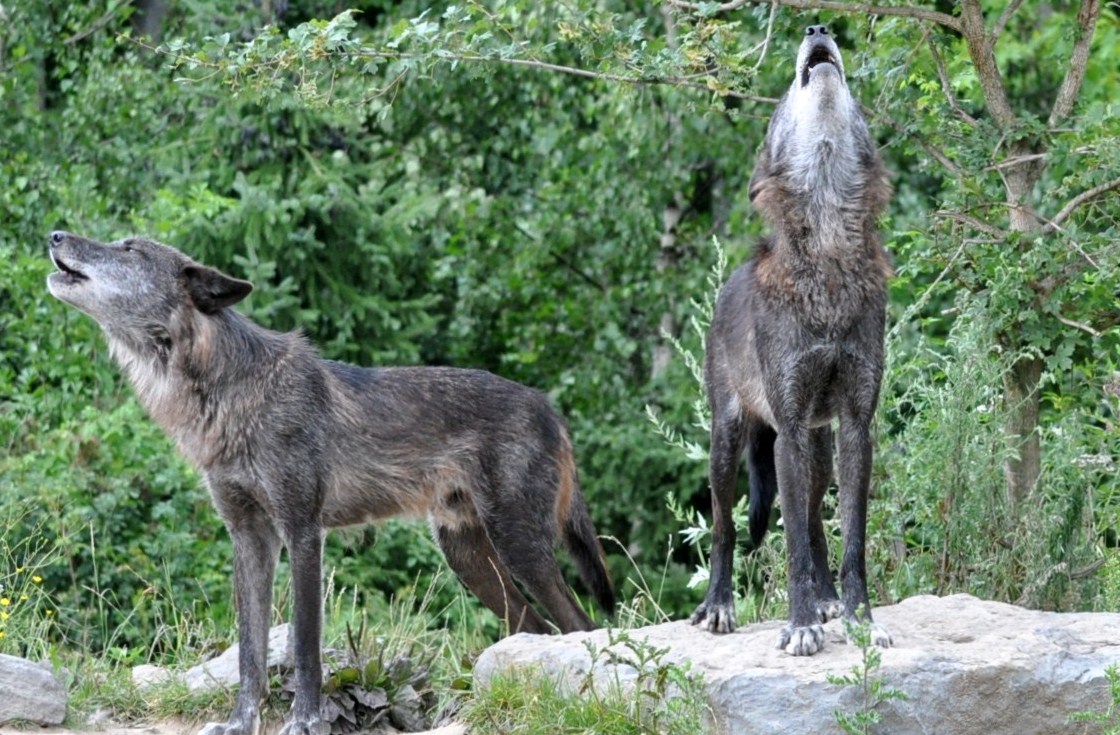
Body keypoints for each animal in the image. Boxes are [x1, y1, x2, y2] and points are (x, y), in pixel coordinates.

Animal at [48, 230, 618, 734]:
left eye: (130, 249)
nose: (54, 235)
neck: (228, 390)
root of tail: (549, 407)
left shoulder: (303, 531)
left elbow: (304, 646)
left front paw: (304, 721)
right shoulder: (249, 538)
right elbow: (250, 652)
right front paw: (240, 723)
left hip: (521, 548)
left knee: (582, 625)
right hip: (471, 559)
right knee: (536, 629)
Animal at [689, 25, 891, 654]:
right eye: (783, 96)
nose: (818, 30)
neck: (826, 259)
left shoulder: (853, 426)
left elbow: (849, 539)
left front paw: (859, 619)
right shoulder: (789, 430)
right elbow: (792, 545)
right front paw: (800, 625)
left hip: (818, 449)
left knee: (814, 520)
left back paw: (828, 601)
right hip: (729, 441)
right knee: (726, 528)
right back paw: (718, 606)